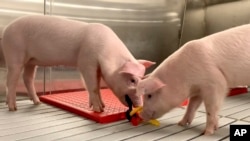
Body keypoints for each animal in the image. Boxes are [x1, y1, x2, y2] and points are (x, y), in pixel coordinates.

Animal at [1, 15, 154, 112]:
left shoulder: (97, 68)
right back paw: (13, 108)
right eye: (132, 80)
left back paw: (37, 102)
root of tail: (6, 29)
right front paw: (99, 110)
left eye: (141, 79)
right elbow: (92, 86)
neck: (106, 52)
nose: (140, 105)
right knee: (11, 80)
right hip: (14, 53)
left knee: (27, 78)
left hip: (31, 61)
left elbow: (97, 86)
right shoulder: (86, 62)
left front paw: (103, 106)